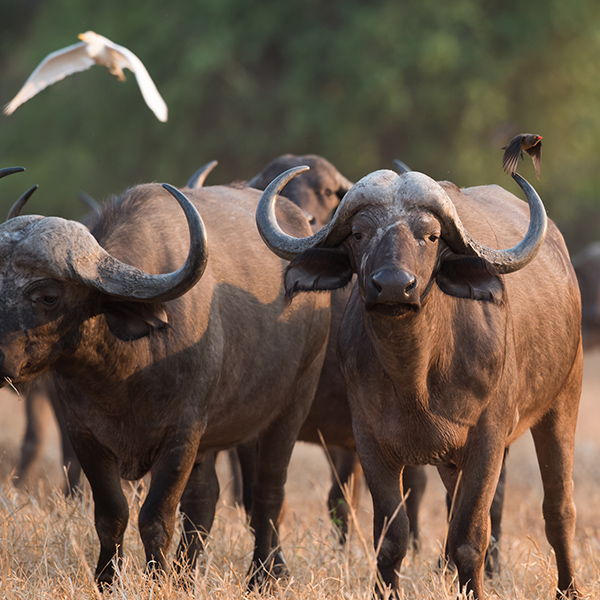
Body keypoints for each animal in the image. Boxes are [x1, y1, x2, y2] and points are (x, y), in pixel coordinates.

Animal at [0, 168, 328, 584]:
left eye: (48, 296)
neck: (123, 376)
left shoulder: (182, 434)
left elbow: (156, 518)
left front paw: (157, 579)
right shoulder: (84, 434)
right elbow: (111, 514)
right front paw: (107, 580)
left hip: (292, 404)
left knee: (268, 491)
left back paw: (265, 575)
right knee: (205, 498)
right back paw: (187, 576)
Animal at [256, 166, 580, 596]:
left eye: (431, 236)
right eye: (359, 234)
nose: (394, 285)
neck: (416, 377)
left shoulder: (488, 440)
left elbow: (469, 536)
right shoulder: (370, 442)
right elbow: (391, 537)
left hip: (564, 401)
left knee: (558, 508)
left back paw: (569, 588)